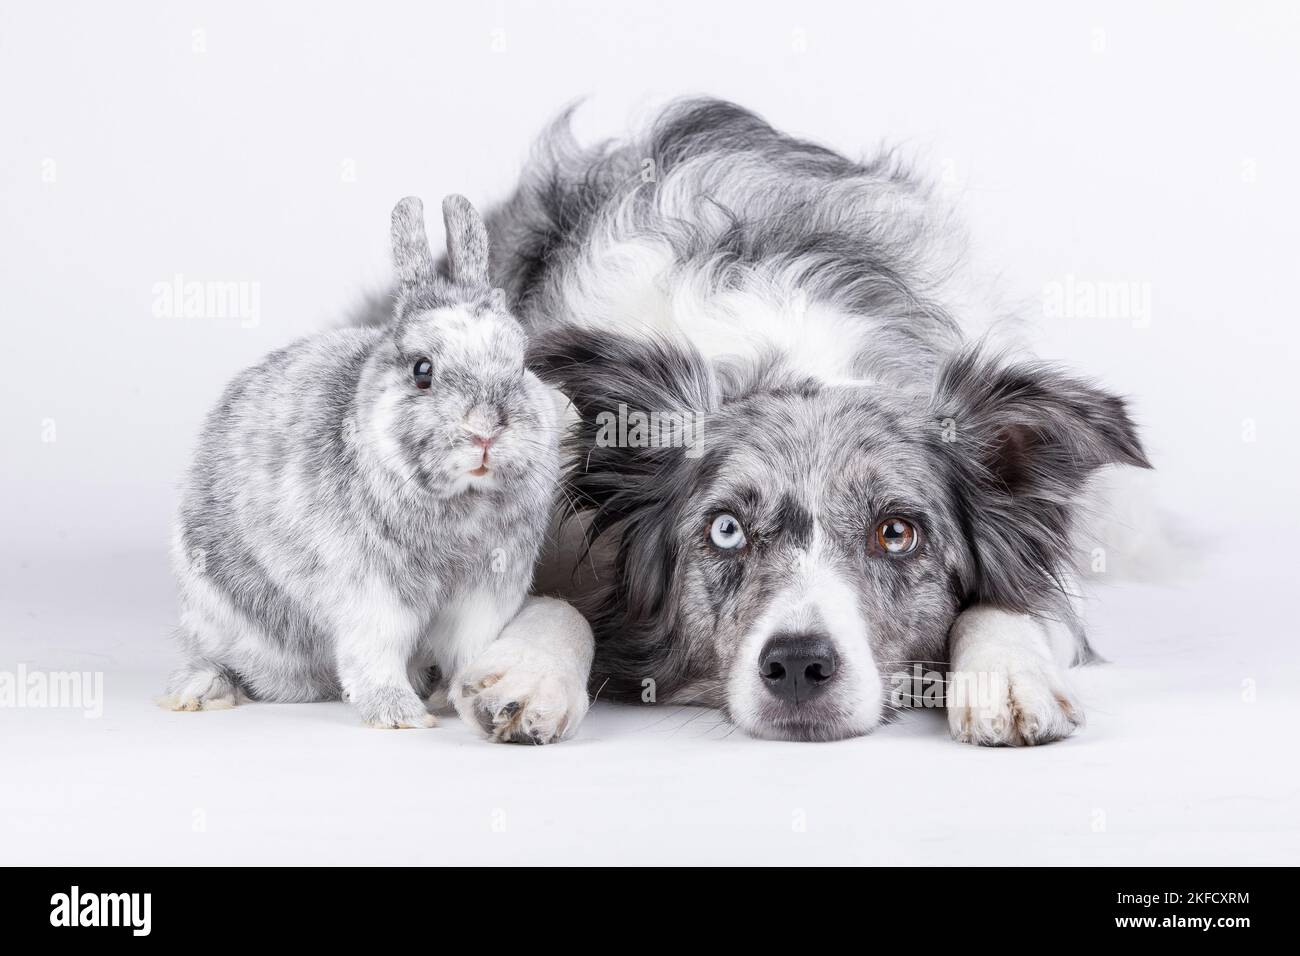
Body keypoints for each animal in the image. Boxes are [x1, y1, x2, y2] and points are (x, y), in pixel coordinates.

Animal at [161, 194, 587, 740]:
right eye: (423, 371)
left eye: (521, 363)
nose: (485, 430)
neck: (461, 500)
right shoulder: (371, 597)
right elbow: (375, 656)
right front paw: (401, 717)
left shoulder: (484, 596)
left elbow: (471, 649)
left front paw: (469, 694)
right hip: (215, 612)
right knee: (221, 662)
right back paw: (200, 691)